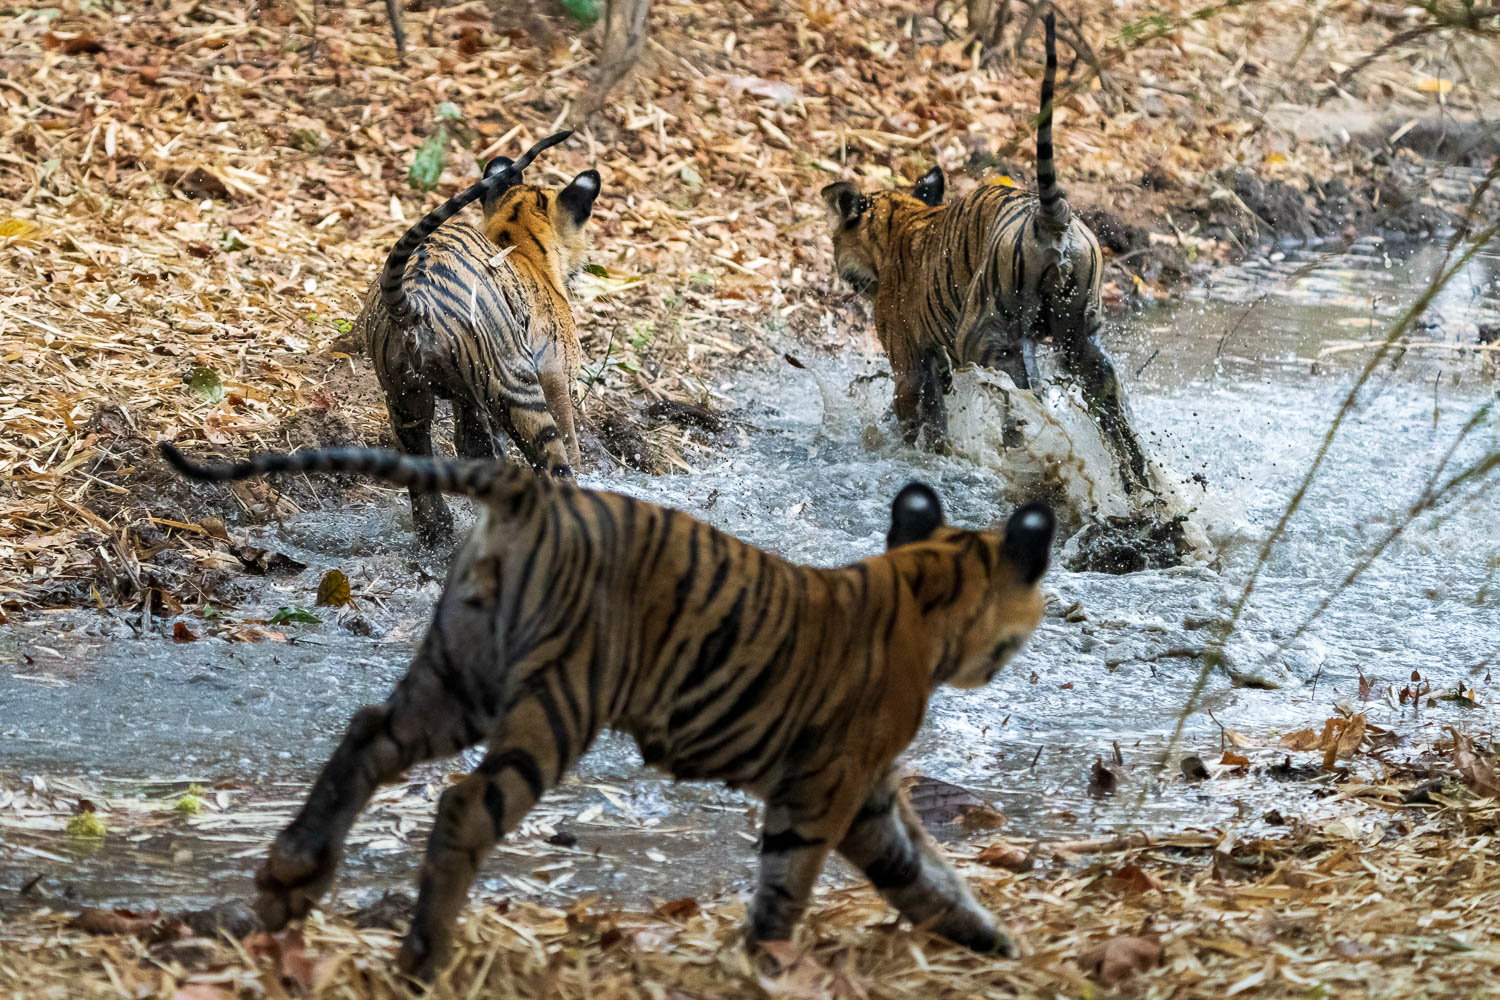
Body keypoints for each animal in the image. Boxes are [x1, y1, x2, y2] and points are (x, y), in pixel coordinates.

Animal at [158, 441, 1055, 981]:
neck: (926, 582)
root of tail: (528, 491)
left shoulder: (866, 793)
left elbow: (926, 875)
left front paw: (994, 943)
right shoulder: (828, 784)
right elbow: (790, 880)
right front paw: (769, 963)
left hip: (459, 676)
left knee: (368, 733)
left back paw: (291, 876)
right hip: (559, 701)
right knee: (464, 803)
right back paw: (424, 957)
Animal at [358, 129, 601, 544]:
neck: (524, 244)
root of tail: (413, 301)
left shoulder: (466, 402)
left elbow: (473, 447)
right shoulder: (555, 376)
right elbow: (570, 444)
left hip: (403, 397)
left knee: (422, 472)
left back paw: (439, 534)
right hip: (517, 386)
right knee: (553, 464)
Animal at [820, 12, 1151, 494]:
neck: (899, 218)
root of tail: (1051, 217)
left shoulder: (908, 356)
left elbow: (917, 415)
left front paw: (912, 454)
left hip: (981, 336)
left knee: (1023, 405)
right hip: (1081, 337)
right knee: (1110, 410)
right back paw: (1144, 487)